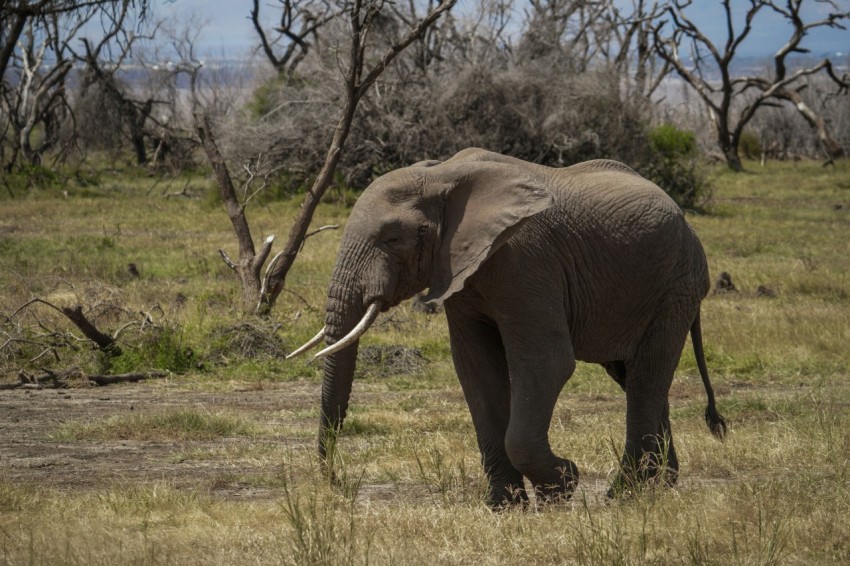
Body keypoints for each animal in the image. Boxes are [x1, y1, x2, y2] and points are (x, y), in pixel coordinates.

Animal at [289, 148, 727, 508]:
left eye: (393, 237)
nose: (334, 481)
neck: (441, 175)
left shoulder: (527, 260)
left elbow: (548, 361)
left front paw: (562, 486)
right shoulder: (461, 272)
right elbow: (476, 370)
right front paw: (504, 506)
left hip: (677, 286)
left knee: (646, 376)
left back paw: (623, 494)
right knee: (634, 376)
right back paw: (661, 485)